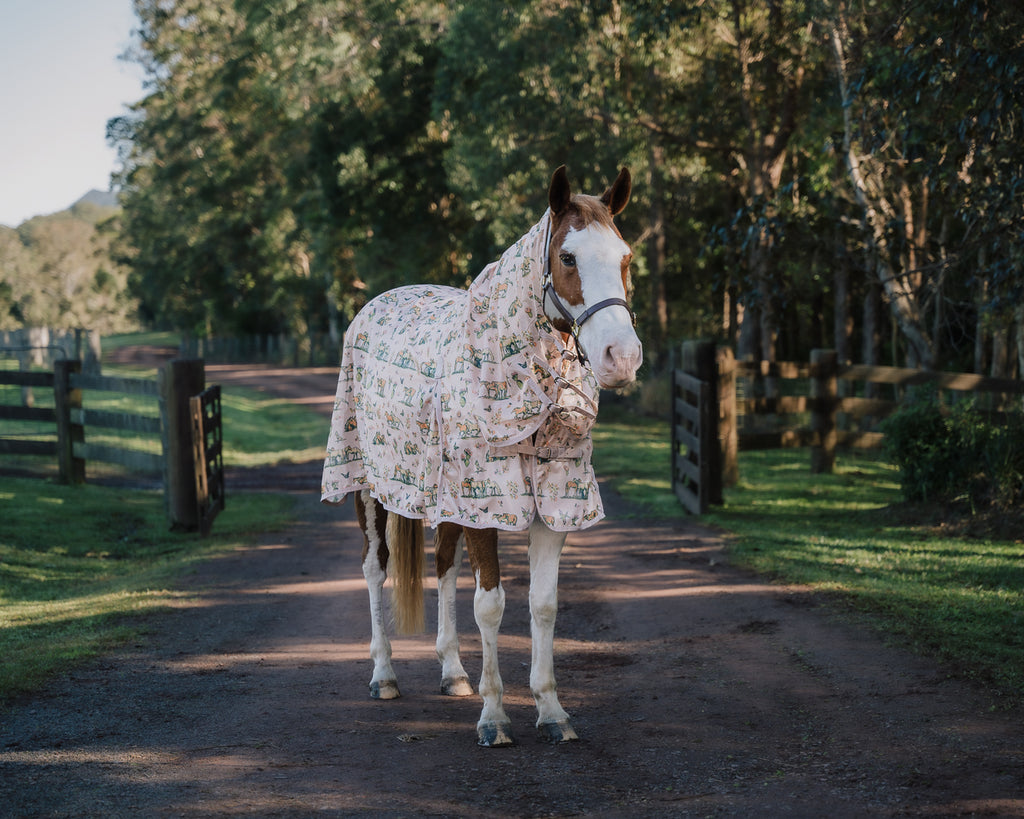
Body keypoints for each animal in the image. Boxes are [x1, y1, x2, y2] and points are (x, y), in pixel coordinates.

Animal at [322, 166, 642, 746]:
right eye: (567, 257)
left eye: (625, 256)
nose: (621, 357)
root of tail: (377, 304)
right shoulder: (487, 504)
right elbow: (490, 606)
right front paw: (495, 718)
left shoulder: (554, 506)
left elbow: (543, 605)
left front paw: (552, 710)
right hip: (366, 487)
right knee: (375, 567)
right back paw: (384, 675)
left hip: (447, 501)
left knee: (443, 566)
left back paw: (452, 672)